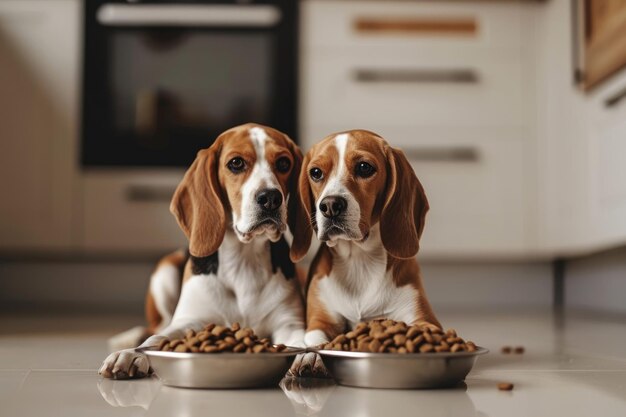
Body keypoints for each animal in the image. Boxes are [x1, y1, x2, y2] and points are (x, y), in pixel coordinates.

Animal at [98, 122, 306, 376]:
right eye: (236, 163)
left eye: (284, 163)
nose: (270, 198)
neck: (244, 260)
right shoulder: (189, 321)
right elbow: (155, 339)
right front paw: (131, 354)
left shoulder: (289, 323)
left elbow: (302, 341)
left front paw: (310, 356)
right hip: (165, 270)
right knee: (155, 326)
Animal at [288, 130, 438, 352]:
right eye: (316, 172)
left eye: (364, 167)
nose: (330, 205)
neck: (359, 259)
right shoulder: (319, 322)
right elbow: (317, 341)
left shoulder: (424, 320)